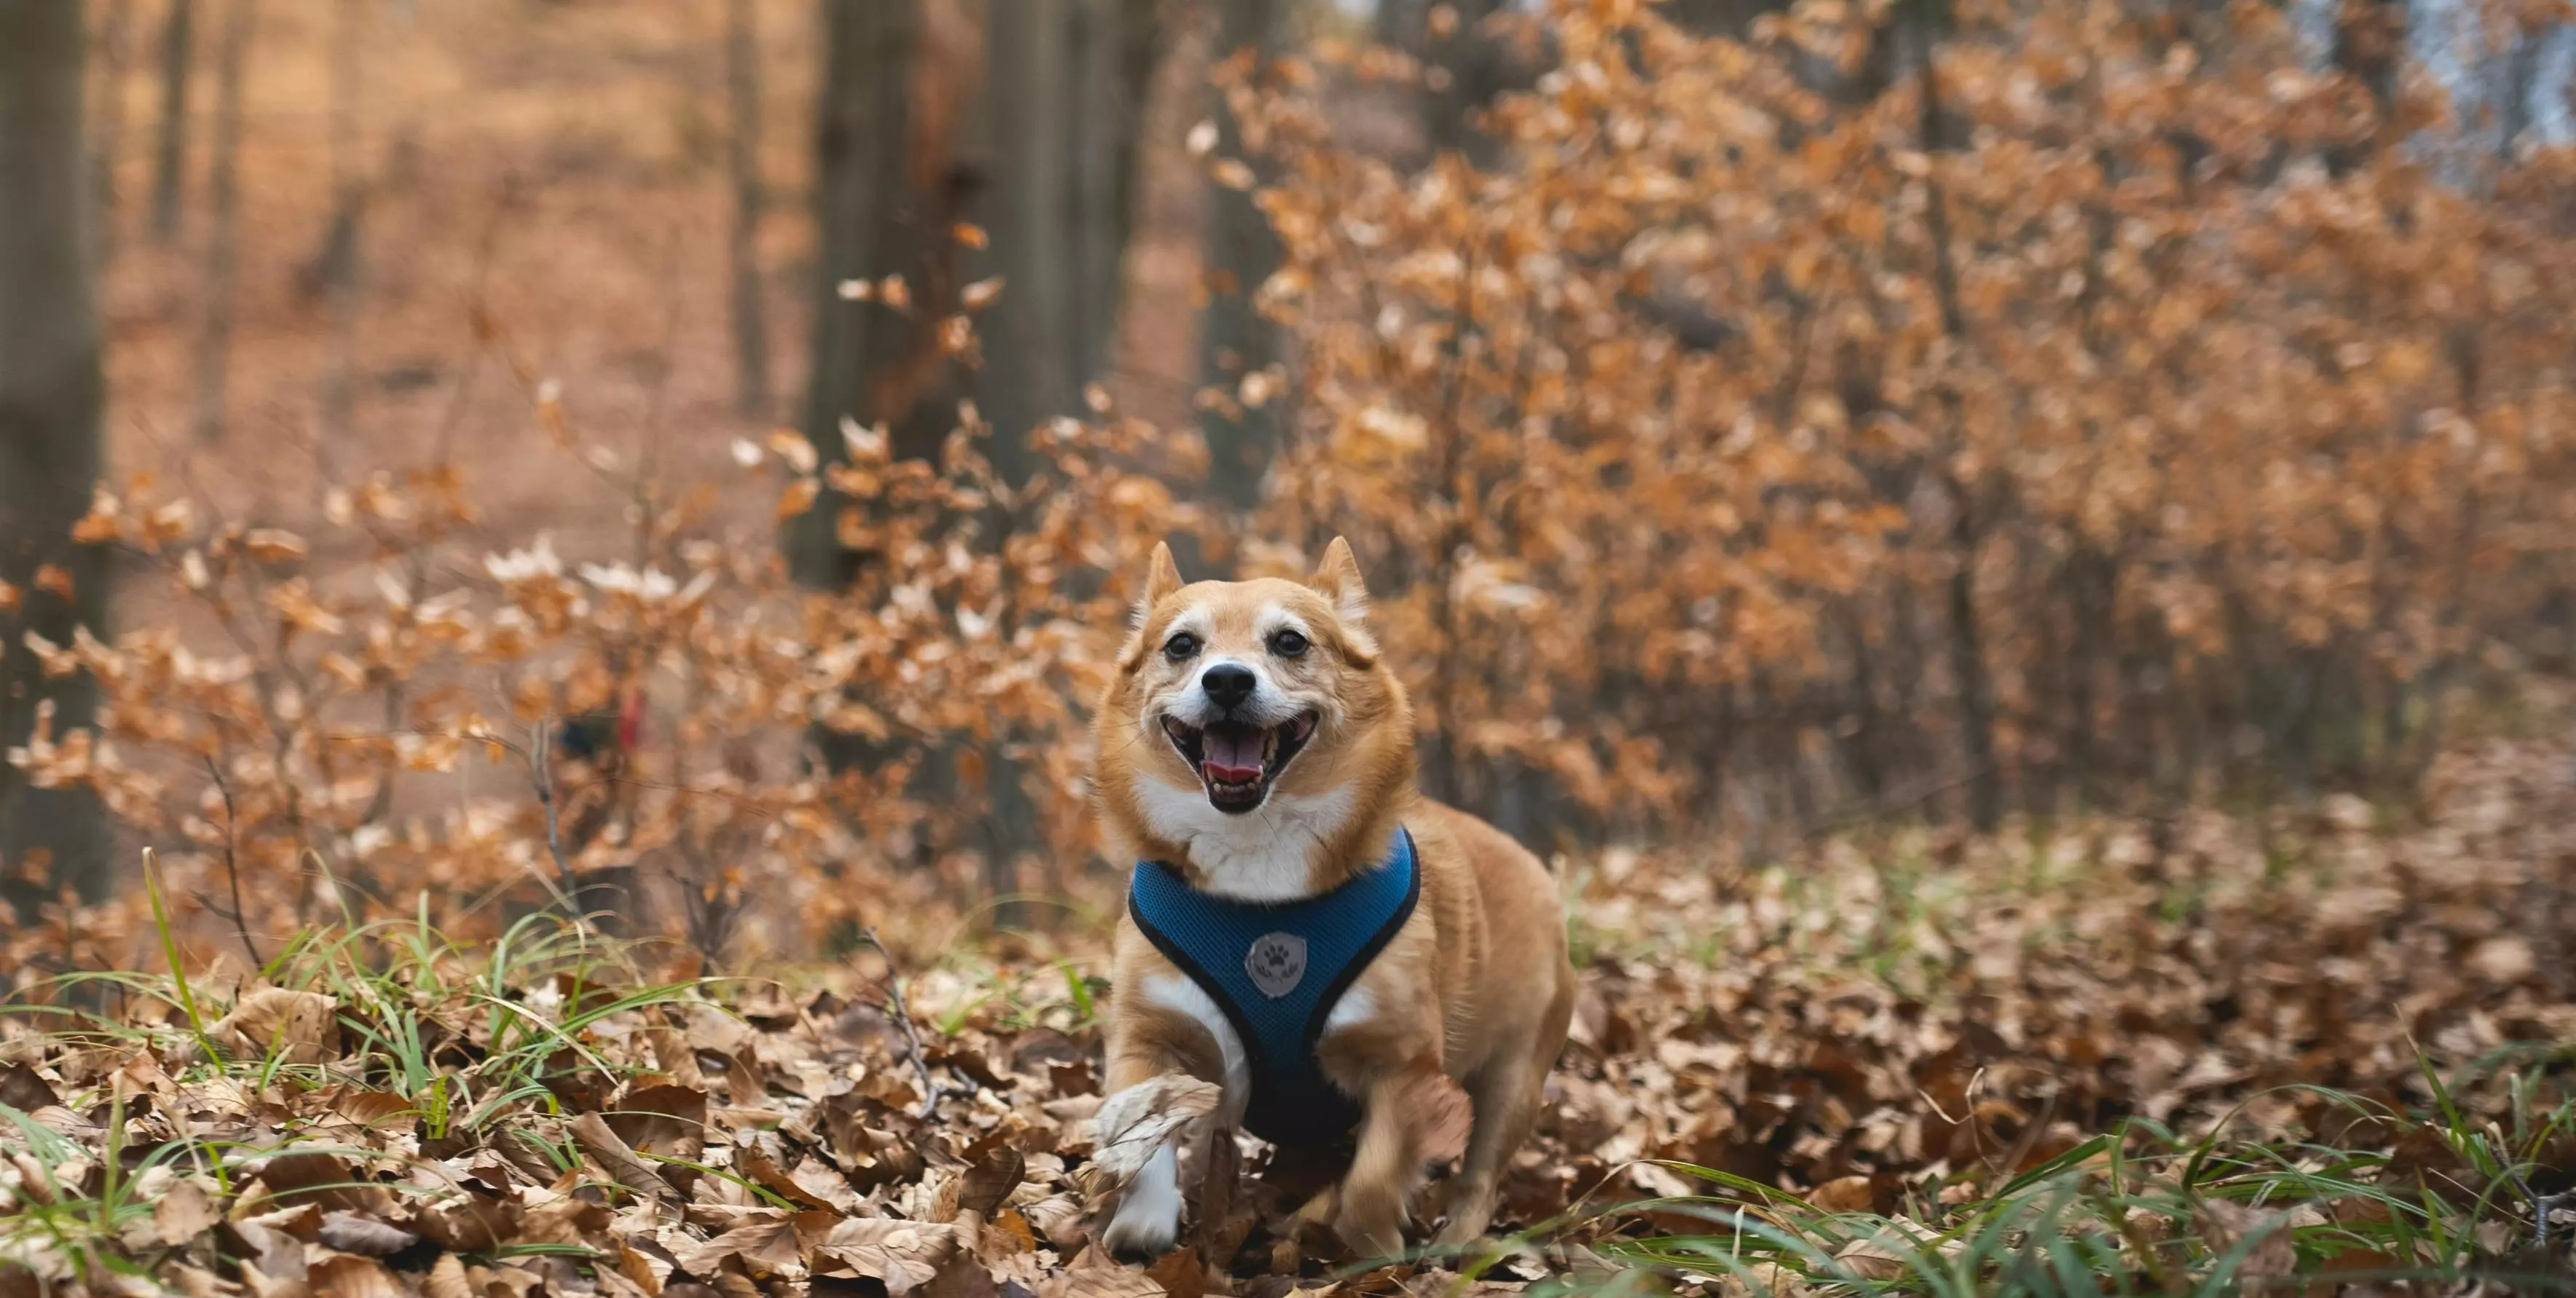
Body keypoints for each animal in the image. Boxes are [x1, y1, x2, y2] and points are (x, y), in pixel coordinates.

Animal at [1087, 538, 1566, 1256]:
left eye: (1290, 641)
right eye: (1181, 646)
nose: (1227, 681)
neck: (1257, 857)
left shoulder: (1400, 1064)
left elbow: (1373, 1180)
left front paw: (1368, 1249)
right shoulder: (1148, 1038)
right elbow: (1141, 1137)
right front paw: (1143, 1225)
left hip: (1515, 1079)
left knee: (1480, 1178)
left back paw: (1450, 1241)